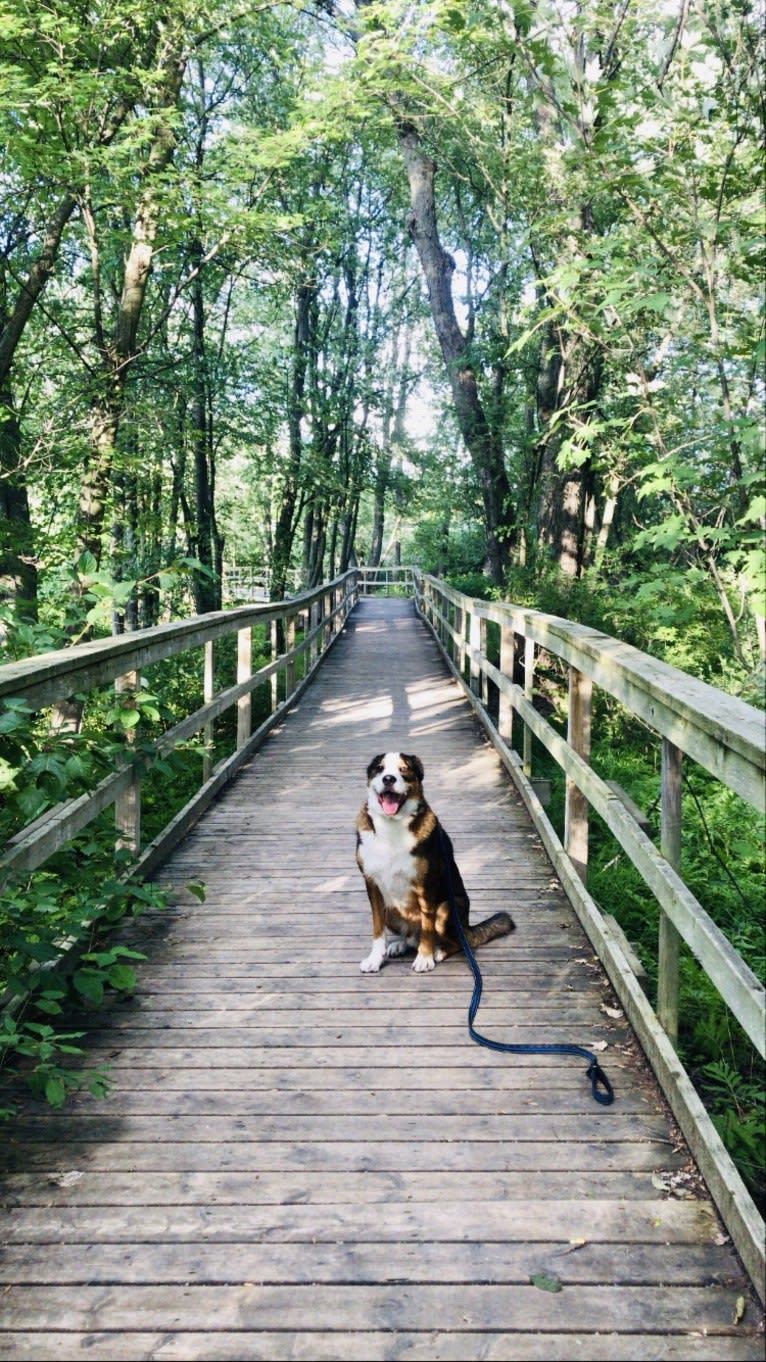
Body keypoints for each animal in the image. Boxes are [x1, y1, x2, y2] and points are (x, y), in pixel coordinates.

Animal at [354, 751, 509, 975]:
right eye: (380, 769)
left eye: (403, 769)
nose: (388, 779)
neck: (392, 826)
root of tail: (467, 927)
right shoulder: (373, 885)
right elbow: (377, 928)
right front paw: (375, 958)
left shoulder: (425, 885)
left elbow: (428, 926)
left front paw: (424, 958)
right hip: (391, 910)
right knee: (411, 937)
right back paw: (399, 944)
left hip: (447, 909)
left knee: (458, 942)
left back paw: (438, 951)